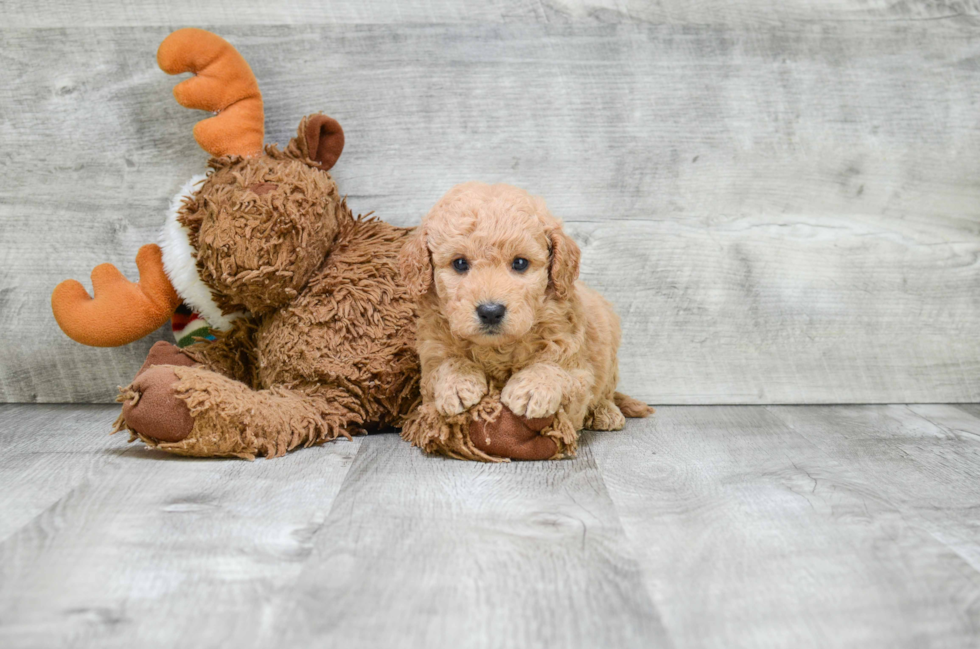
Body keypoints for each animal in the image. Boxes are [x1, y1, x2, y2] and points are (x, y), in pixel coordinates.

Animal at [398, 182, 652, 436]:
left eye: (520, 263)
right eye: (460, 263)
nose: (491, 311)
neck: (496, 348)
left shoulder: (576, 367)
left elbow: (556, 368)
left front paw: (533, 388)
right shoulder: (430, 354)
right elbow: (444, 363)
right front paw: (457, 382)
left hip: (610, 350)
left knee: (607, 390)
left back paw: (606, 412)